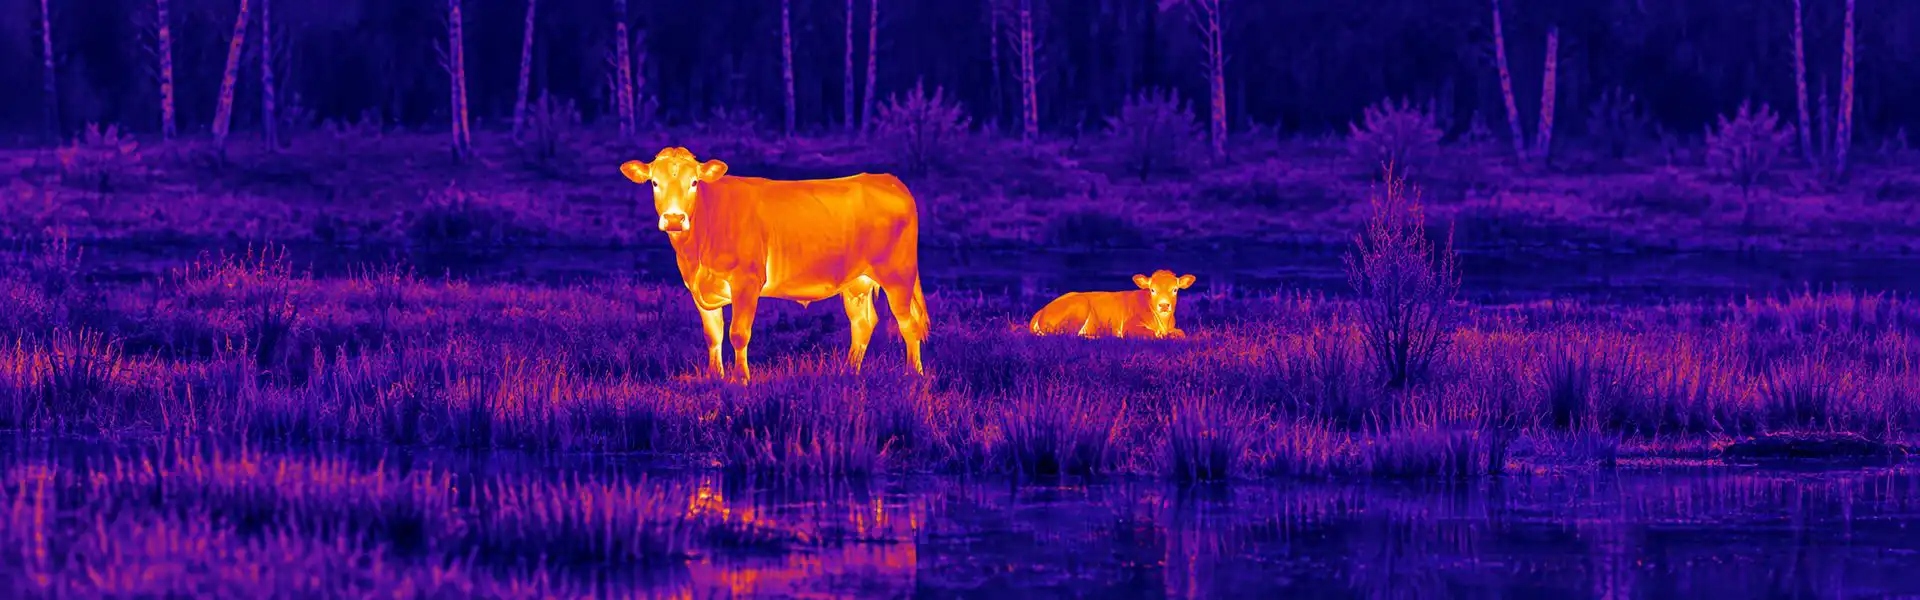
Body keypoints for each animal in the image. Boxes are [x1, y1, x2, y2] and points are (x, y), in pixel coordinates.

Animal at [619, 147, 929, 381]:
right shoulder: (698, 289)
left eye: (694, 183)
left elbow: (738, 333)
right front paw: (714, 376)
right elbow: (712, 334)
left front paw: (740, 379)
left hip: (898, 275)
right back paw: (847, 372)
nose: (674, 219)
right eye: (654, 183)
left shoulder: (746, 281)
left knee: (908, 323)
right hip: (857, 282)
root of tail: (887, 179)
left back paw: (914, 375)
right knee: (863, 323)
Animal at [1028, 270, 1195, 339]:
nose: (1164, 305)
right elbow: (1155, 335)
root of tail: (1042, 310)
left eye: (1175, 289)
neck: (1163, 322)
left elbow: (1181, 333)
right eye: (1152, 290)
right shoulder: (1129, 327)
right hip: (1080, 307)